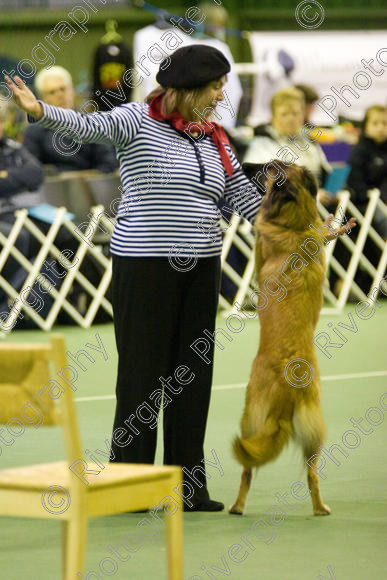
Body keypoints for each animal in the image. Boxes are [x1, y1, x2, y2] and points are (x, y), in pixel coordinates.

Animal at [230, 162, 358, 516]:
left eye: (270, 168)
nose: (246, 165)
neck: (296, 224)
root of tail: (285, 394)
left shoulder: (260, 250)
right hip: (315, 428)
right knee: (312, 473)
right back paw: (319, 507)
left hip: (250, 417)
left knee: (247, 469)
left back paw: (237, 506)